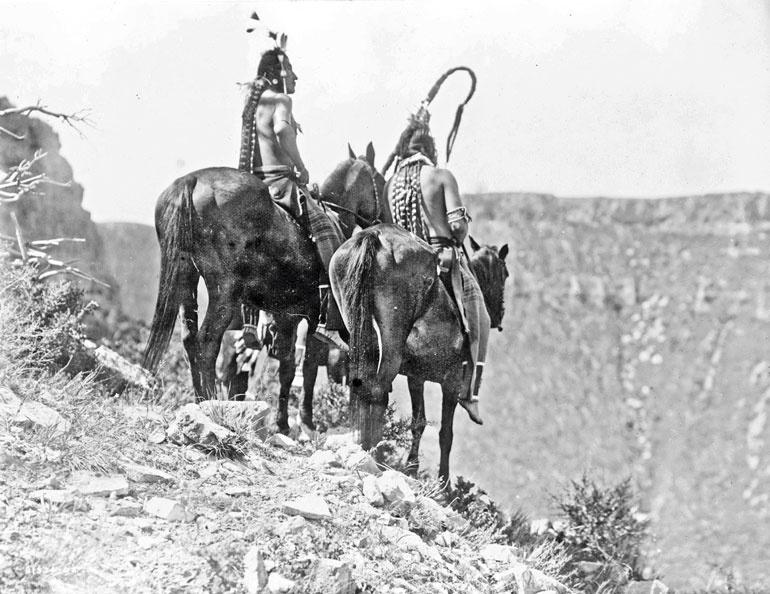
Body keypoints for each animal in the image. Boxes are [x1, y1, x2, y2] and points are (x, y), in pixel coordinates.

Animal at [141, 147, 384, 402]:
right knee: (206, 342)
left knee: (190, 340)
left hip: (186, 278)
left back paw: (201, 399)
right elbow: (306, 369)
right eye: (379, 179)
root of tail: (191, 180)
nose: (382, 217)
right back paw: (210, 400)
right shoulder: (310, 316)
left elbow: (287, 367)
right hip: (224, 292)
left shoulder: (287, 316)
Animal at [328, 224, 508, 484]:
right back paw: (375, 455)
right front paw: (444, 482)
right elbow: (446, 433)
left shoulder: (416, 377)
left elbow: (419, 422)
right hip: (391, 344)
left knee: (361, 387)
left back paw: (363, 448)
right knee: (376, 390)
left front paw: (412, 467)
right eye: (505, 274)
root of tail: (375, 235)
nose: (499, 315)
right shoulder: (452, 380)